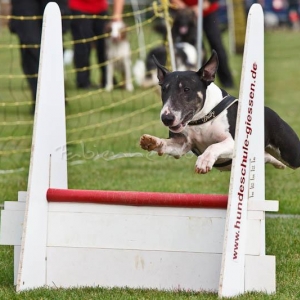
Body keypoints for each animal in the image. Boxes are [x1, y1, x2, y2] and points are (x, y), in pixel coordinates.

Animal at [140, 51, 300, 173]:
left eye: (186, 89)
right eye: (164, 89)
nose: (166, 118)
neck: (202, 119)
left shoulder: (232, 142)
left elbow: (214, 146)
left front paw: (204, 161)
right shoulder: (182, 145)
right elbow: (169, 145)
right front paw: (151, 141)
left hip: (291, 153)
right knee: (268, 157)